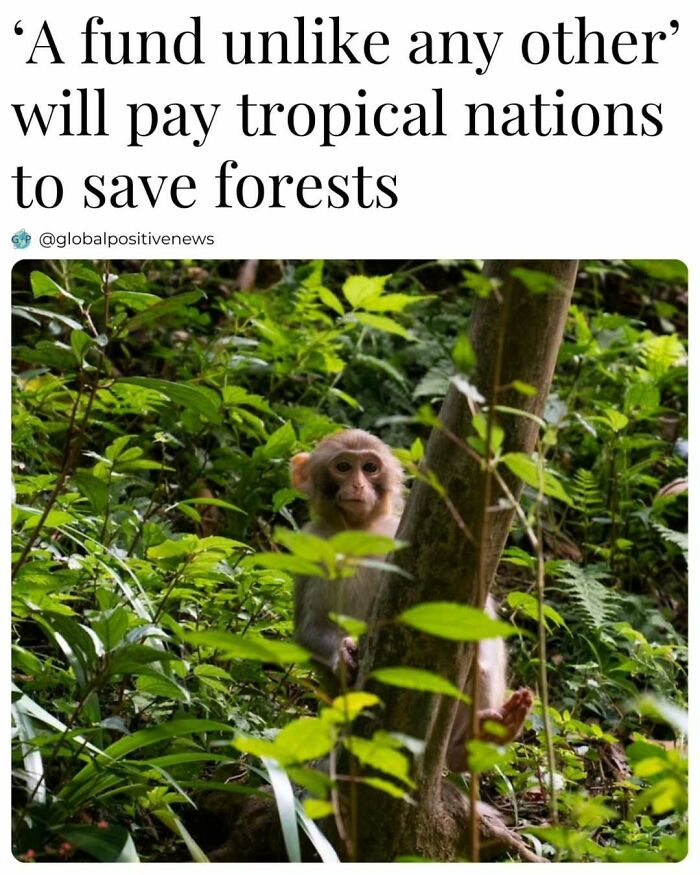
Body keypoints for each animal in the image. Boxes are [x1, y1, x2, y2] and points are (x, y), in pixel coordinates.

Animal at [290, 429, 533, 770]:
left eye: (369, 467)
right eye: (343, 467)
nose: (358, 485)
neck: (360, 531)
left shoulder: (397, 532)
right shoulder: (310, 549)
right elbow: (308, 629)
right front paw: (344, 656)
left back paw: (472, 743)